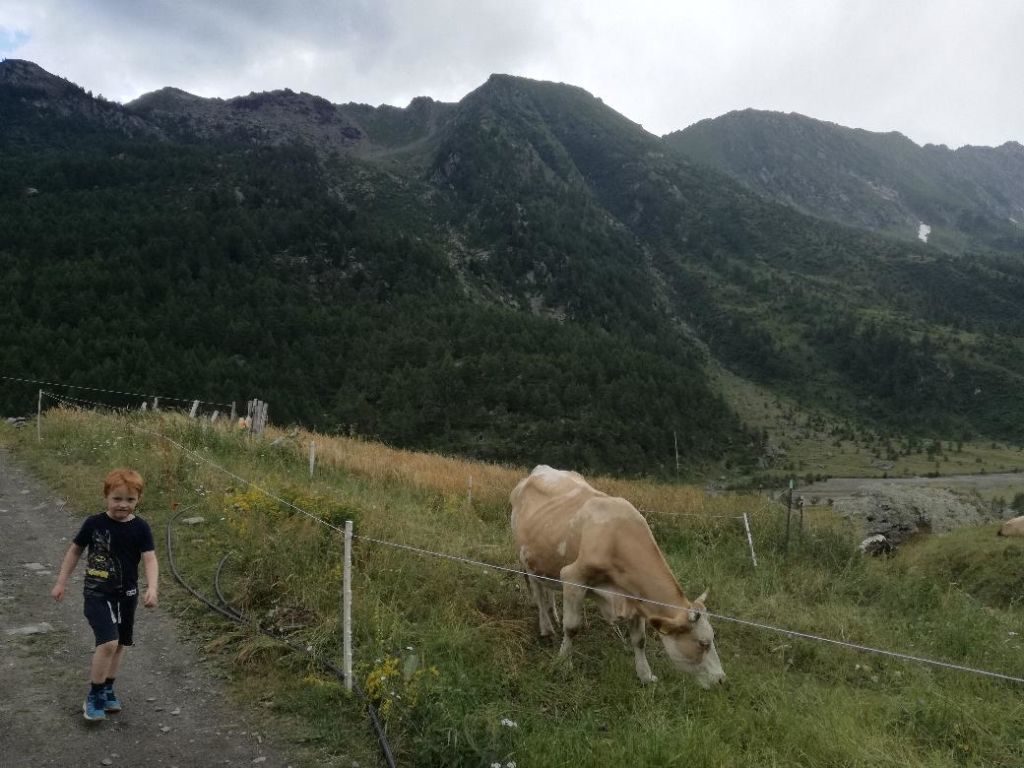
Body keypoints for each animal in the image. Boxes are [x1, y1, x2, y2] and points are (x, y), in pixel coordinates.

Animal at [507, 466, 724, 688]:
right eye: (703, 643)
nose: (721, 679)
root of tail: (539, 470)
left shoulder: (635, 595)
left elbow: (640, 640)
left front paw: (645, 675)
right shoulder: (573, 577)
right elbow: (572, 628)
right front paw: (563, 663)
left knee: (547, 588)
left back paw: (554, 615)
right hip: (526, 559)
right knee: (538, 592)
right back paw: (546, 627)